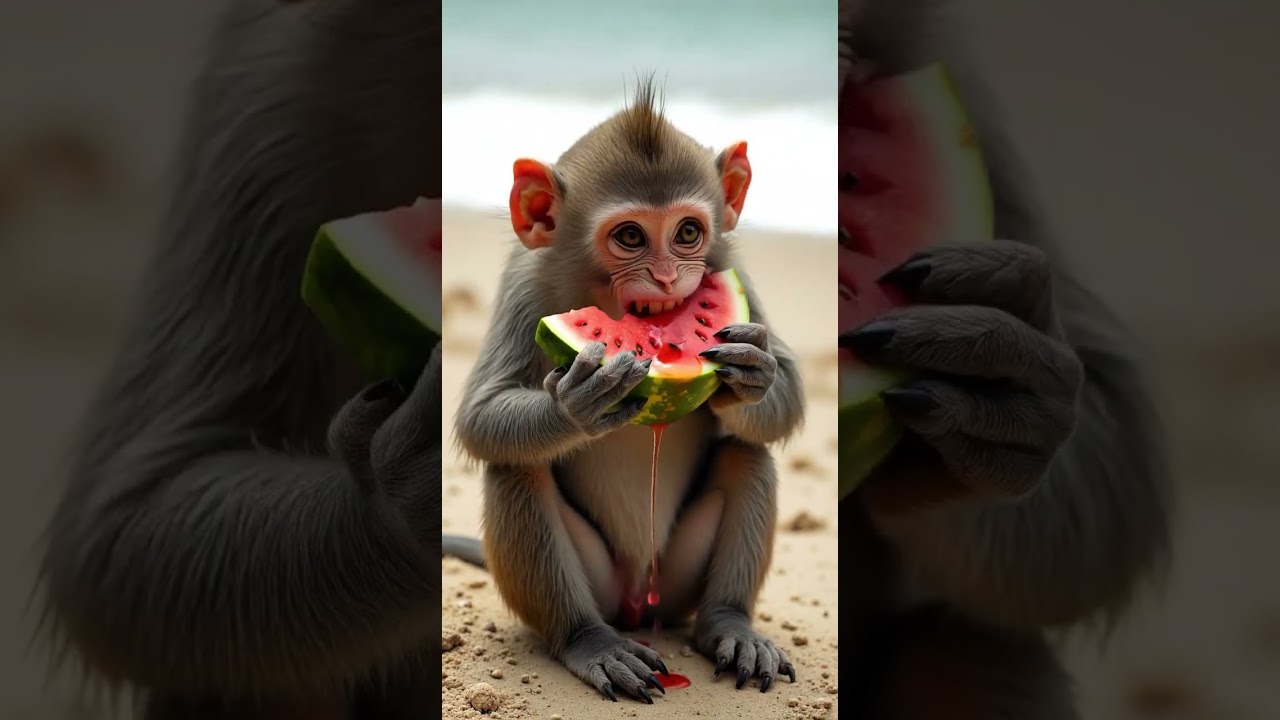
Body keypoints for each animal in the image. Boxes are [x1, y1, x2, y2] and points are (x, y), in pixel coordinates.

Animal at [448, 78, 808, 705]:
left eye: (687, 232)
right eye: (631, 236)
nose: (666, 277)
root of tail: (640, 604)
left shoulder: (730, 268)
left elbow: (782, 397)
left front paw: (754, 375)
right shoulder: (524, 283)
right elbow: (481, 417)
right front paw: (577, 404)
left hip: (677, 582)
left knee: (747, 454)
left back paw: (730, 624)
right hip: (604, 584)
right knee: (516, 469)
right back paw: (588, 640)